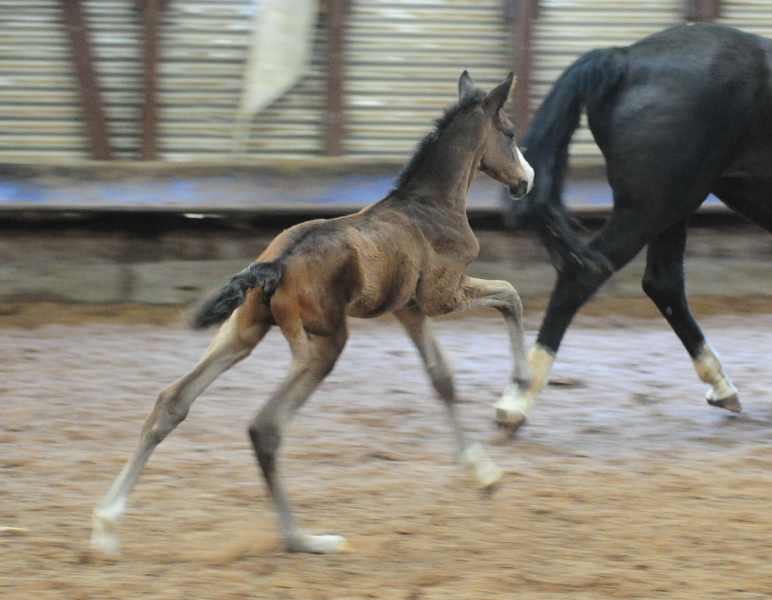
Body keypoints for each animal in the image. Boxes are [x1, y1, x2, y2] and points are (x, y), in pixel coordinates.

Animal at [92, 72, 532, 556]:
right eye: (511, 133)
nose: (526, 180)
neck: (429, 206)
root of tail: (277, 263)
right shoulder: (442, 296)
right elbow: (511, 296)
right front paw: (517, 390)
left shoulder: (409, 309)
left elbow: (442, 378)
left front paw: (482, 473)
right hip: (325, 341)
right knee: (266, 426)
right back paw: (305, 540)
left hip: (245, 329)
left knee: (173, 401)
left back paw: (106, 526)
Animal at [494, 21, 772, 428]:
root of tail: (624, 58)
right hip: (652, 207)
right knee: (585, 274)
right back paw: (516, 400)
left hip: (673, 205)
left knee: (663, 283)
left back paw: (722, 387)